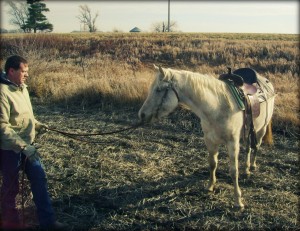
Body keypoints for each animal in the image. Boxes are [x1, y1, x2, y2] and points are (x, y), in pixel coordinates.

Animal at [138, 65, 274, 208]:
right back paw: (247, 169)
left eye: (158, 89)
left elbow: (233, 171)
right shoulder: (210, 140)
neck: (218, 106)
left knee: (256, 146)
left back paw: (252, 166)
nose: (142, 114)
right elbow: (212, 164)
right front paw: (210, 186)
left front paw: (238, 200)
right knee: (248, 148)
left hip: (262, 128)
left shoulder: (232, 142)